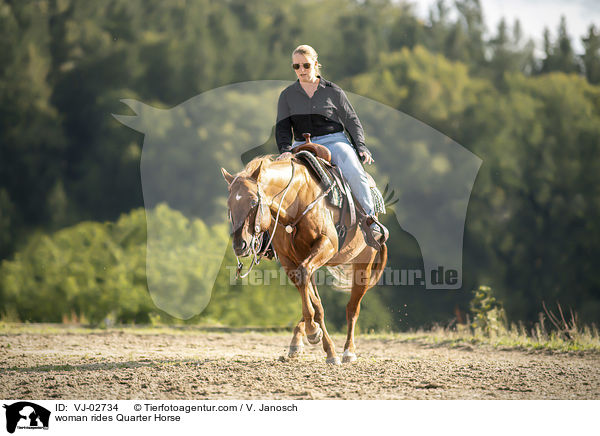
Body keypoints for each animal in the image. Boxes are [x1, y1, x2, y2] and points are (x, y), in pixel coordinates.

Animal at [223, 153, 386, 364]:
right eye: (229, 205)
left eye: (252, 201)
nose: (239, 245)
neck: (297, 200)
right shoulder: (289, 260)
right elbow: (312, 298)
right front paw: (318, 338)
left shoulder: (327, 244)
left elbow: (311, 293)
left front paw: (316, 335)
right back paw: (299, 341)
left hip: (363, 263)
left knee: (352, 307)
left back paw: (348, 350)